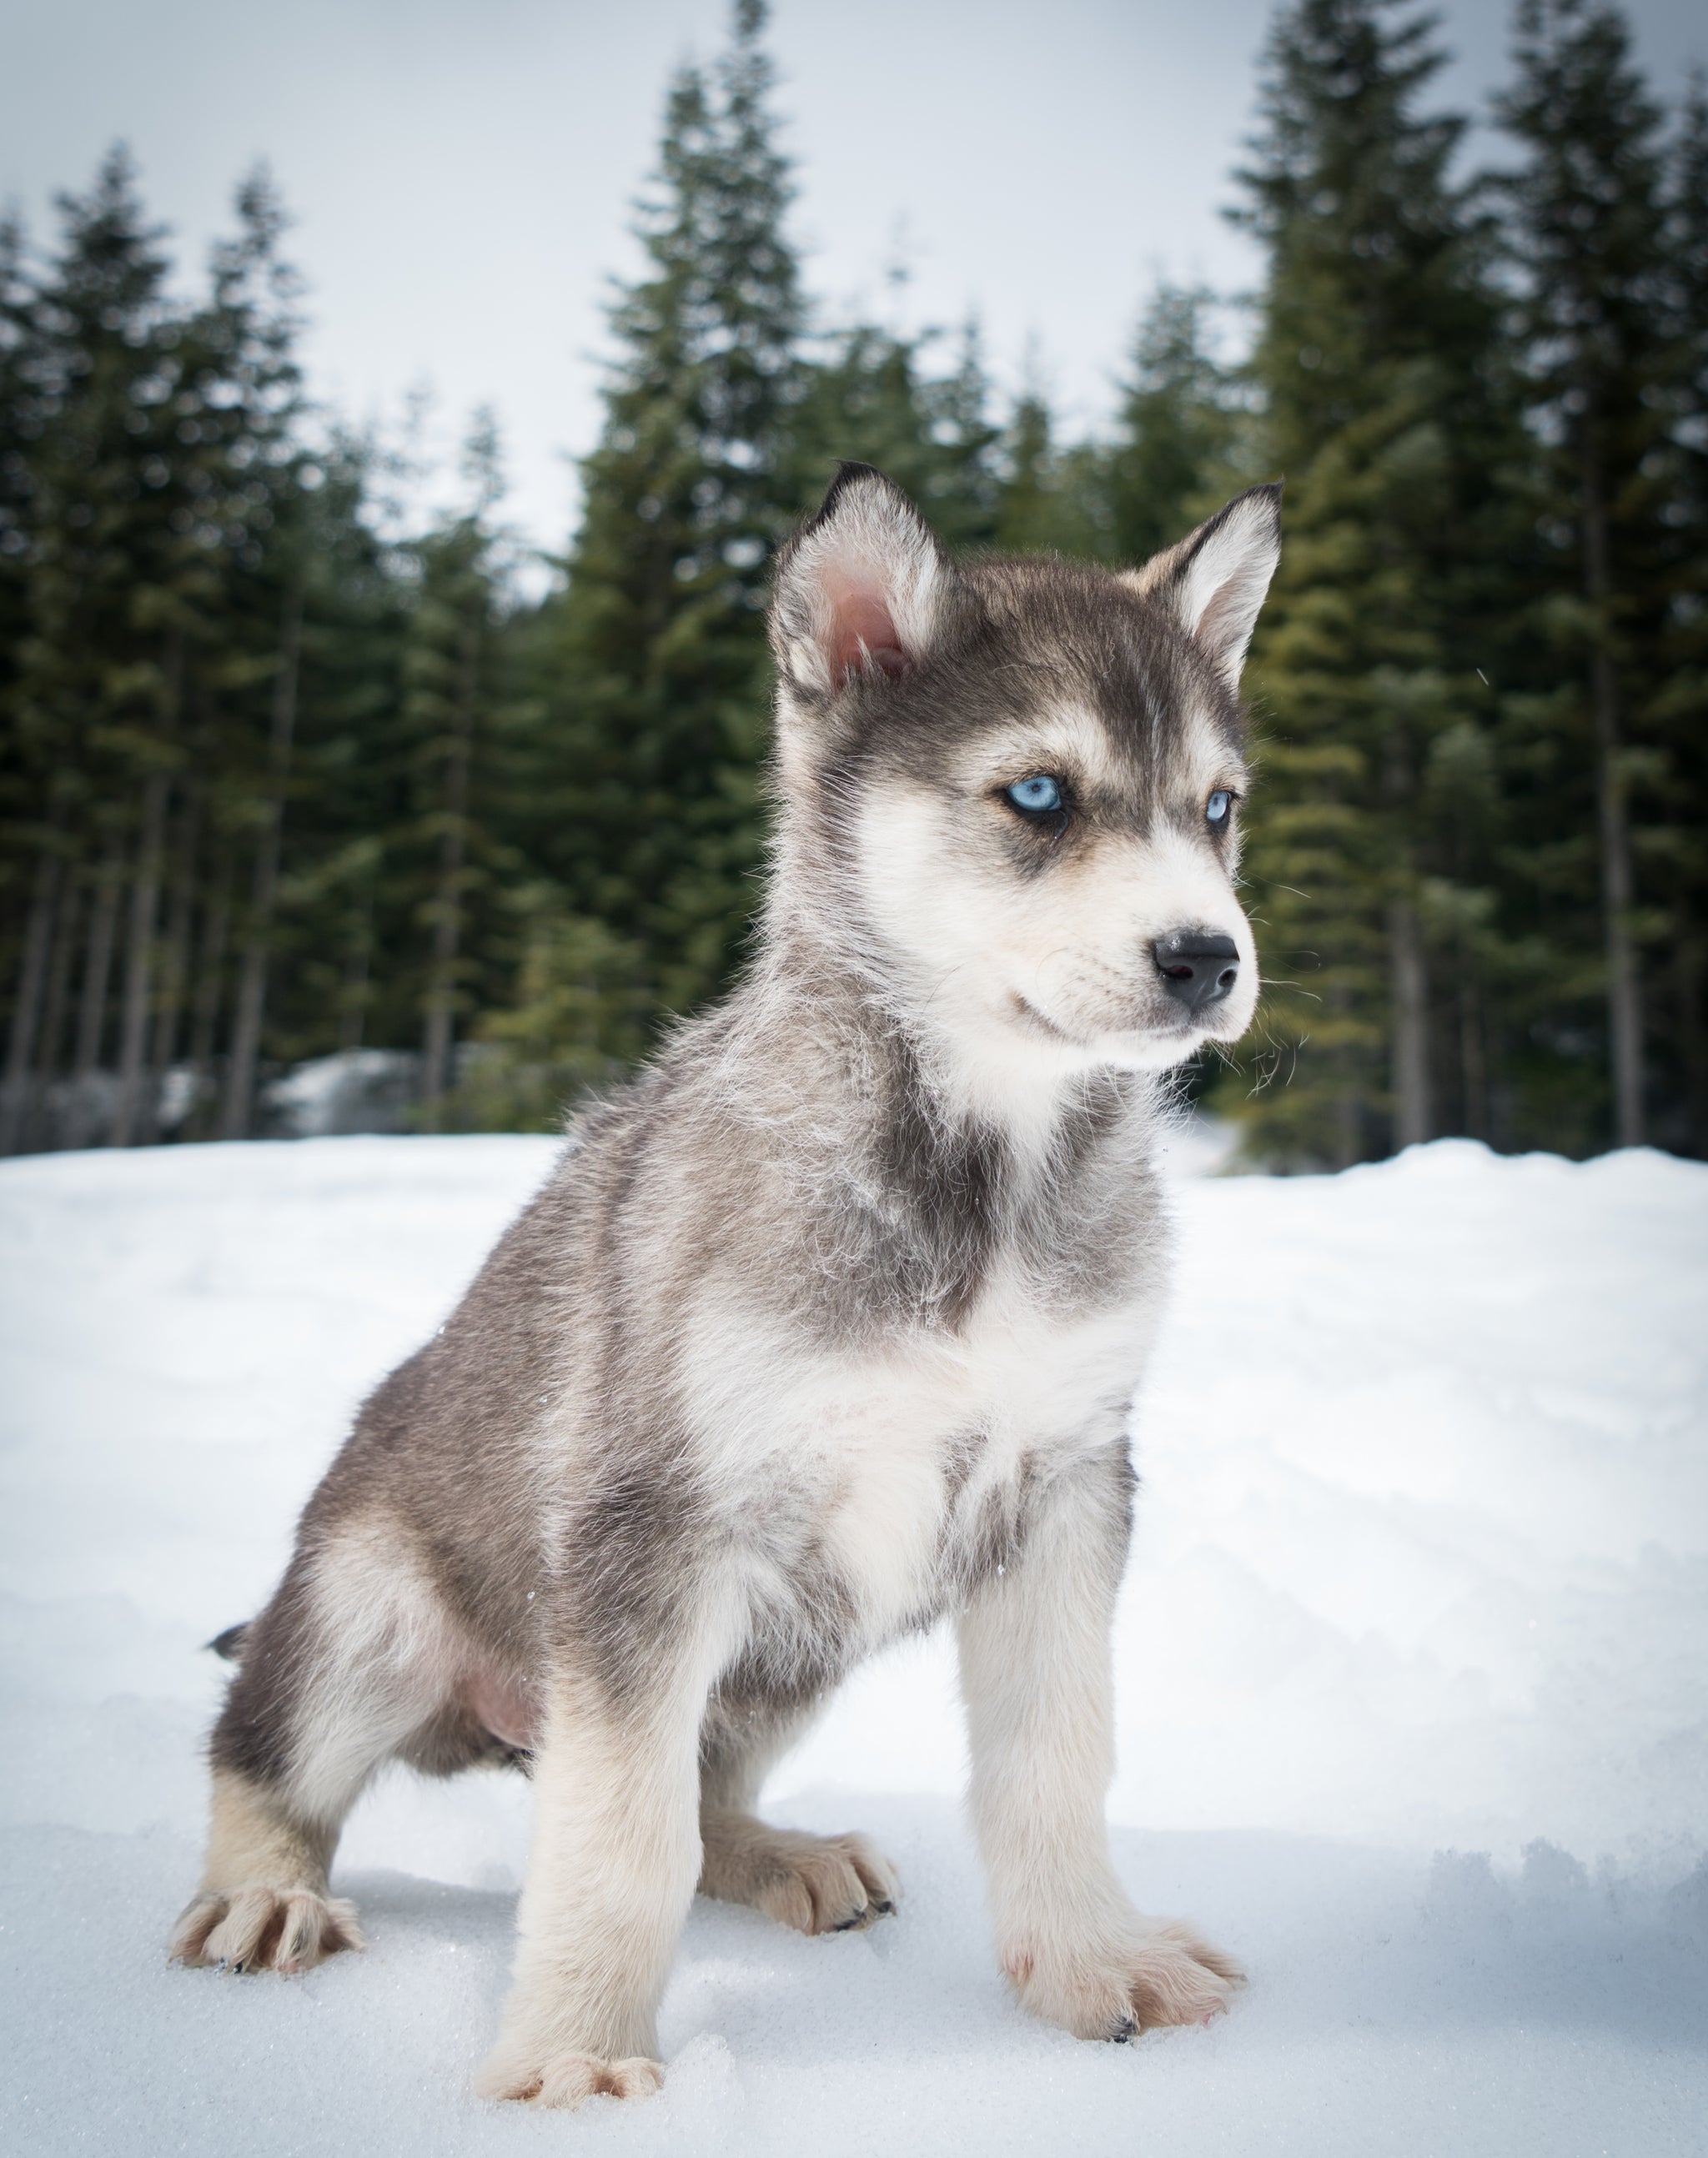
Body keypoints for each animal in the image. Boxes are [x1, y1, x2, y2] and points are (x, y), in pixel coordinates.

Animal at [170, 468, 1278, 2105]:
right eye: (1037, 796)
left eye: (1216, 809)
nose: (1207, 957)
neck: (979, 1186)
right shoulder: (653, 1534)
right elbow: (618, 1842)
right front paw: (572, 2058)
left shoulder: (1069, 1483)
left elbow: (1053, 1760)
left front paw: (1090, 1962)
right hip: (367, 1611)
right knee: (268, 1757)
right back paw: (264, 1892)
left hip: (793, 1647)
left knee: (705, 1797)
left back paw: (782, 1854)